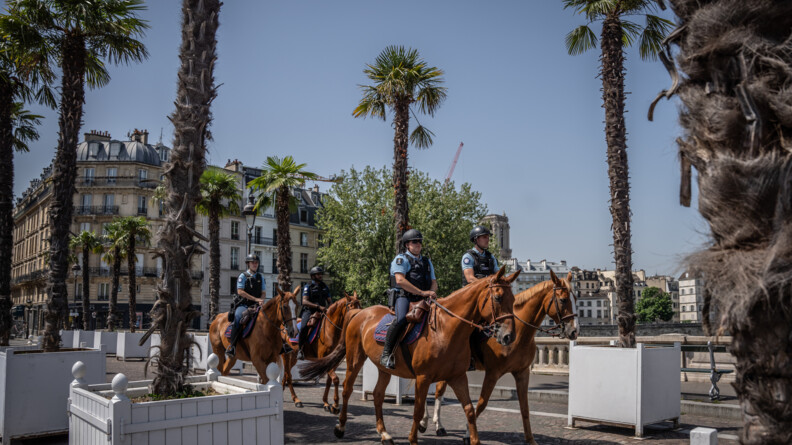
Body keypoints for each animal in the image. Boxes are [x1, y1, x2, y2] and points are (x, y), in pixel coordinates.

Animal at [298, 266, 520, 444]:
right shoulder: (423, 377)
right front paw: (414, 437)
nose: (509, 336)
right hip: (354, 359)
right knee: (346, 389)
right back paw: (340, 425)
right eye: (498, 297)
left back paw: (384, 433)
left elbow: (469, 410)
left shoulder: (457, 376)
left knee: (377, 395)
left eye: (514, 299)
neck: (446, 329)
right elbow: (418, 410)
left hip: (383, 368)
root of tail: (359, 314)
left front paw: (473, 439)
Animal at [424, 268, 580, 442]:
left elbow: (525, 408)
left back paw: (435, 423)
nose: (575, 331)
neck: (519, 334)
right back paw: (430, 423)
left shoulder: (522, 373)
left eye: (575, 298)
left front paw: (530, 439)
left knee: (438, 389)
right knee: (437, 390)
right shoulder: (492, 373)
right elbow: (481, 404)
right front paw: (467, 433)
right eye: (563, 300)